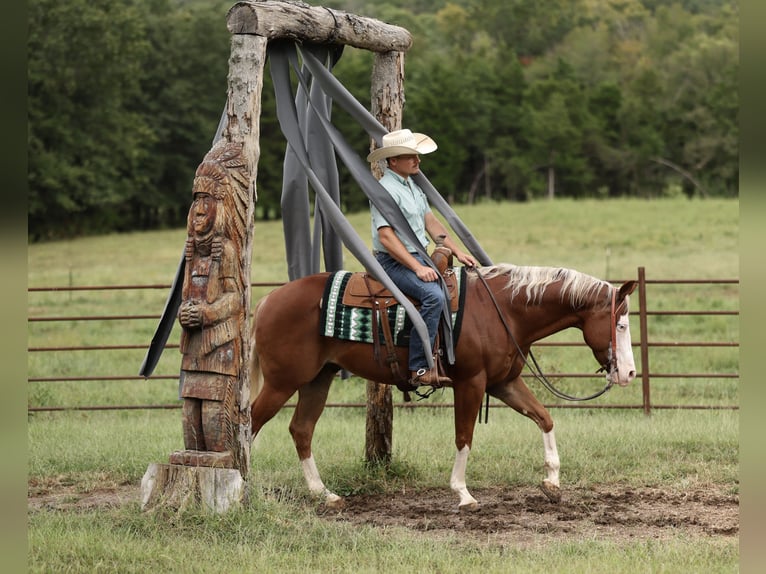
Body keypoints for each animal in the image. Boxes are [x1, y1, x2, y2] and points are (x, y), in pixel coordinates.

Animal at [248, 264, 638, 510]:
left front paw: (552, 482)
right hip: (282, 382)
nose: (630, 373)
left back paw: (324, 493)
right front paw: (463, 493)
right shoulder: (471, 382)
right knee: (249, 421)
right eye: (620, 325)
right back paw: (243, 488)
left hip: (318, 378)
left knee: (301, 429)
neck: (502, 311)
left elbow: (544, 418)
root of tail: (267, 301)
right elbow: (464, 436)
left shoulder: (504, 383)